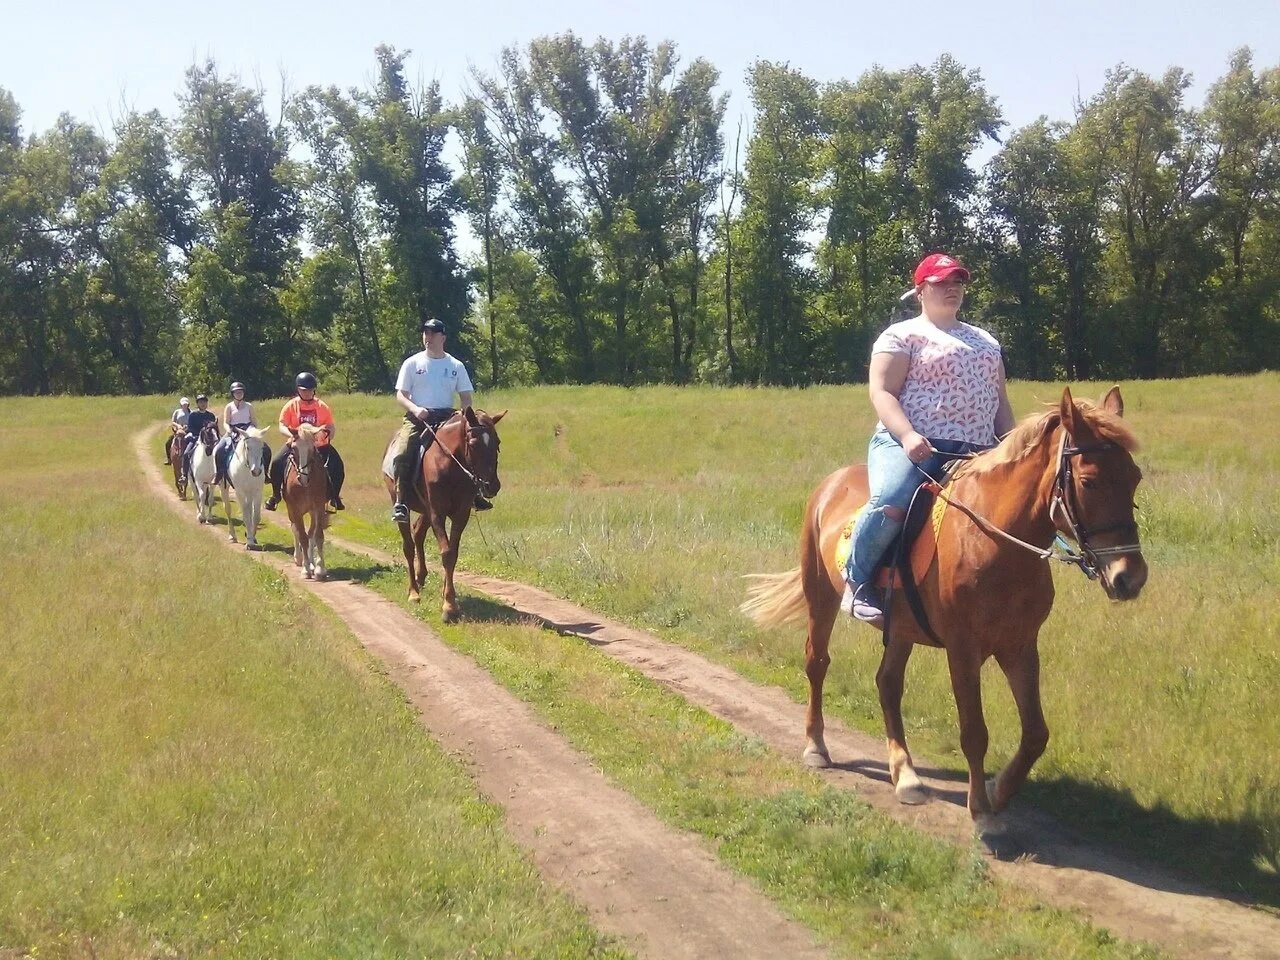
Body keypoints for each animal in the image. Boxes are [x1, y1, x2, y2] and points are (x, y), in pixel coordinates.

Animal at [282, 424, 330, 583]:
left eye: (312, 449)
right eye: (293, 448)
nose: (303, 478)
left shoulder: (319, 507)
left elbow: (317, 536)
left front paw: (320, 569)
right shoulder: (295, 509)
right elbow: (302, 536)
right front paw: (306, 569)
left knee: (311, 534)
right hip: (291, 510)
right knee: (295, 530)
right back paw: (299, 559)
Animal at [378, 407, 504, 619]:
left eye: (497, 442)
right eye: (473, 443)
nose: (492, 486)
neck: (449, 464)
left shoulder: (460, 515)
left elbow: (453, 553)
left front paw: (448, 597)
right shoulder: (438, 513)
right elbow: (446, 552)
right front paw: (448, 607)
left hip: (425, 510)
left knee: (418, 533)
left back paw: (421, 578)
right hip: (405, 506)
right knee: (408, 546)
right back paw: (413, 592)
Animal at [742, 386, 1152, 839]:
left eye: (1134, 477)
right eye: (1088, 481)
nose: (1129, 577)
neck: (995, 541)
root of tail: (830, 484)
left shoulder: (1020, 646)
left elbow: (1035, 734)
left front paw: (997, 790)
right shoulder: (963, 650)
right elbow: (974, 731)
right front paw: (982, 810)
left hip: (901, 627)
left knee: (888, 684)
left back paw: (905, 774)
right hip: (821, 598)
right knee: (817, 663)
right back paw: (816, 746)